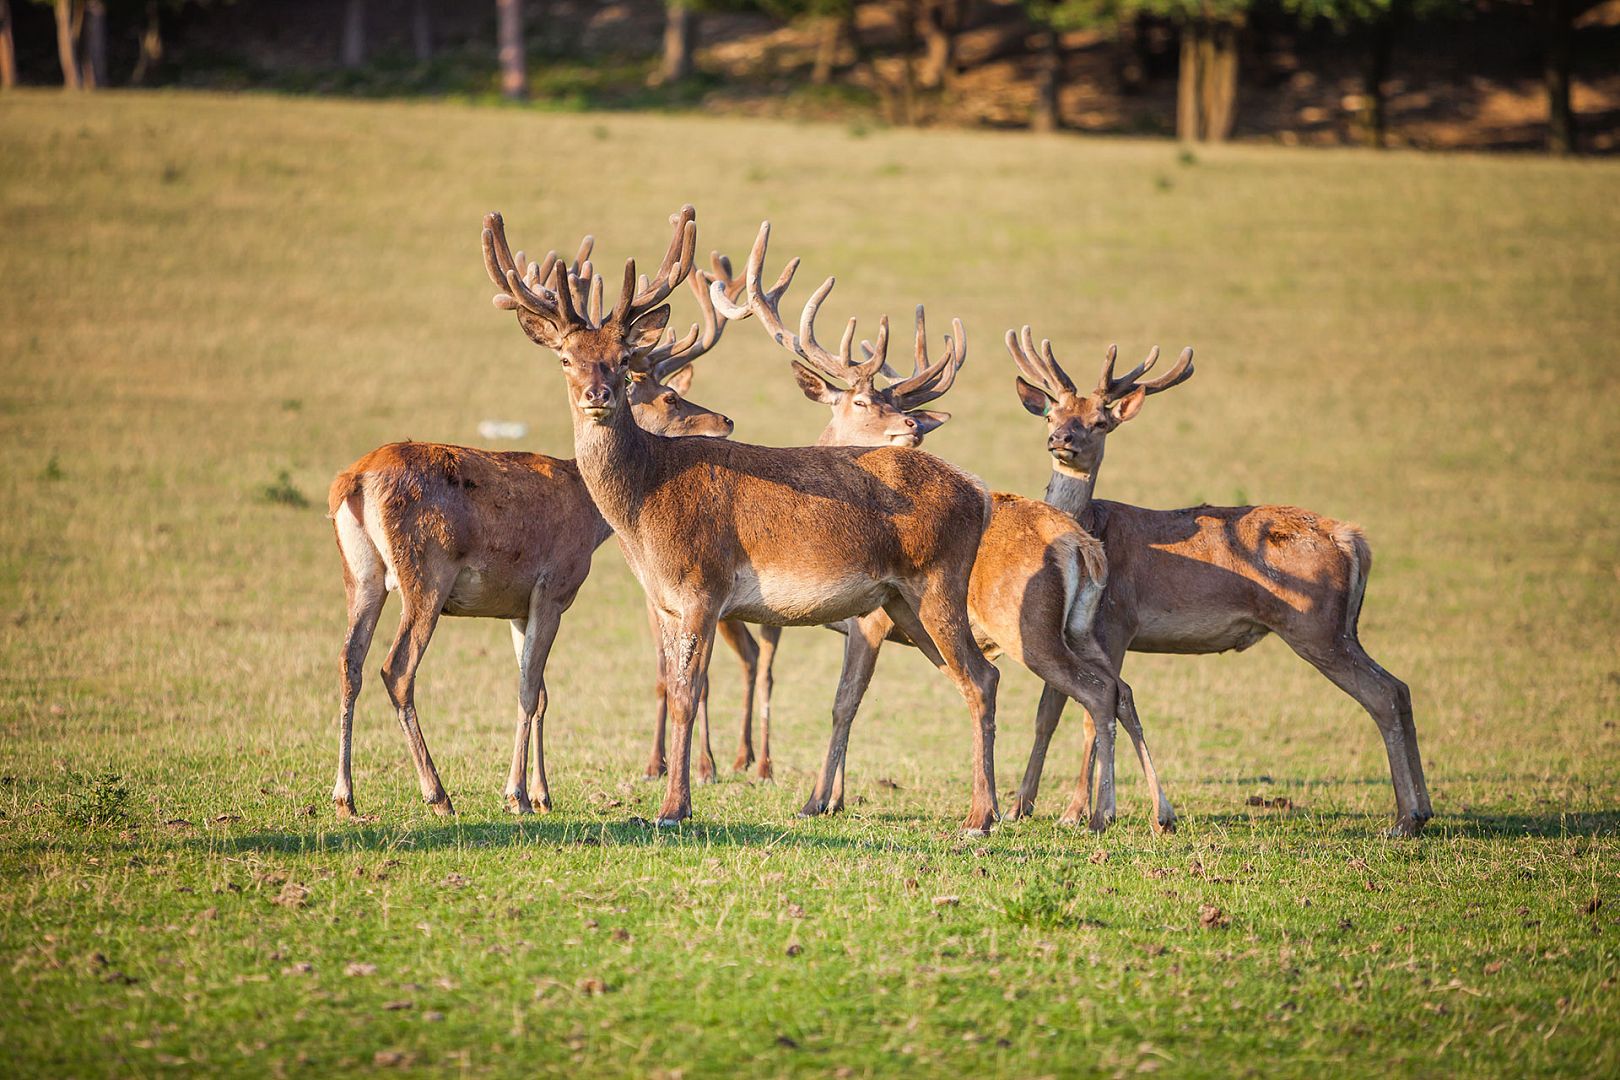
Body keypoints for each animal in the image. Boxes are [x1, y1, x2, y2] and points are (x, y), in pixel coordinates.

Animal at [326, 248, 743, 820]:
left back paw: (344, 796)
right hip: (424, 572)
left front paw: (542, 792)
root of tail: (356, 480)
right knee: (397, 668)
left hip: (360, 573)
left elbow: (540, 691)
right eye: (672, 398)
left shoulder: (516, 604)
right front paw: (518, 795)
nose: (724, 420)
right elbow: (528, 689)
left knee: (350, 662)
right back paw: (437, 794)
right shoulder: (554, 585)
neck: (589, 516)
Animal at [482, 205, 1007, 833]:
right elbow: (673, 686)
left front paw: (674, 807)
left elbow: (689, 694)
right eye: (566, 357)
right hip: (902, 604)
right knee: (980, 676)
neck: (642, 510)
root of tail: (979, 492)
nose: (597, 394)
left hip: (937, 582)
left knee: (978, 678)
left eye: (622, 360)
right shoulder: (665, 600)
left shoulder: (703, 585)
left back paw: (980, 816)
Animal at [709, 250, 1170, 831]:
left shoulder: (871, 618)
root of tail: (1082, 545)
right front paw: (836, 796)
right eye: (861, 401)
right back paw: (1152, 811)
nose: (912, 426)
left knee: (1085, 693)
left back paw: (1069, 813)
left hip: (1029, 628)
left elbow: (844, 701)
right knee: (1119, 691)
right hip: (1085, 629)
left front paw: (818, 800)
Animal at [1006, 329, 1433, 837]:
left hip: (1316, 628)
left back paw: (1405, 819)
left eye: (1100, 421)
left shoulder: (1116, 623)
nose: (1061, 439)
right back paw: (1422, 810)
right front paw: (1020, 806)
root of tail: (1352, 540)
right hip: (1344, 629)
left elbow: (1092, 713)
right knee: (1400, 687)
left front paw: (1075, 812)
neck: (1093, 524)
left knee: (1382, 694)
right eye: (1052, 414)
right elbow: (1047, 714)